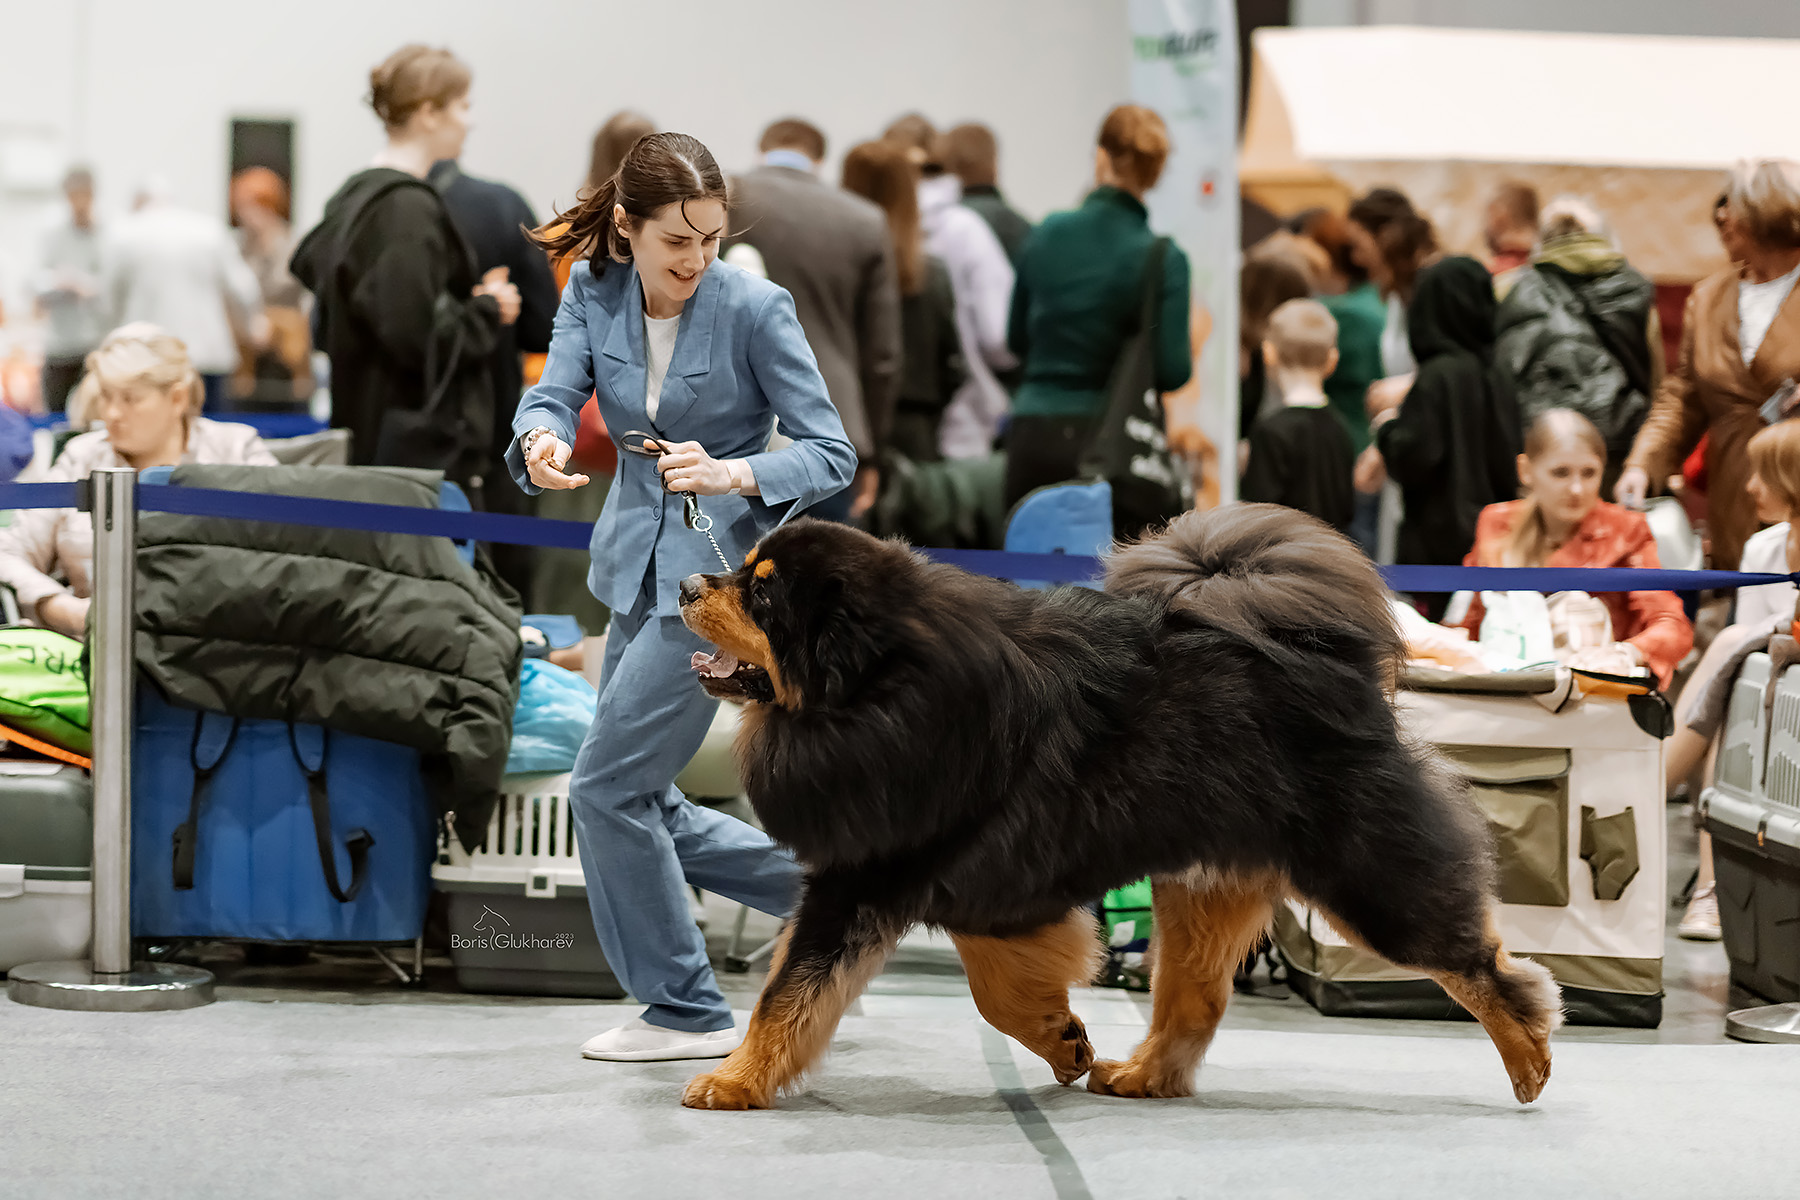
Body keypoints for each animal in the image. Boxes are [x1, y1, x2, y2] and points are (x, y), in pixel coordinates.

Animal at [676, 504, 1562, 1111]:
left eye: (761, 597)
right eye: (739, 573)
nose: (685, 582)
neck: (881, 693)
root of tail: (1334, 669)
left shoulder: (875, 878)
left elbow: (788, 993)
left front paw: (732, 1081)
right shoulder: (986, 885)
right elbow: (996, 985)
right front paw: (1064, 1041)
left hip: (1366, 879)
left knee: (1482, 963)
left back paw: (1529, 1059)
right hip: (1203, 888)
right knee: (1195, 1000)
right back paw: (1143, 1074)